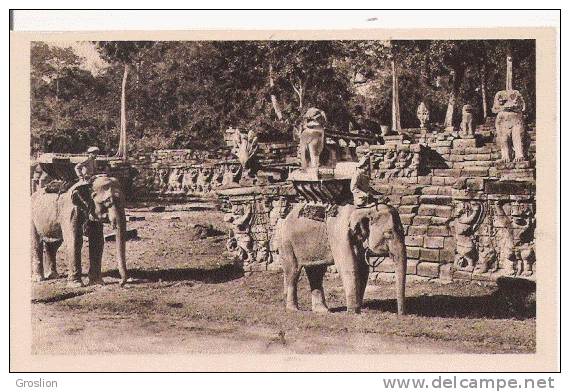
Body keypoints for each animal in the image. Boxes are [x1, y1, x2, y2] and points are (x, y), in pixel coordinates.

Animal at [274, 202, 404, 316]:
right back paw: (293, 310)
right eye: (388, 233)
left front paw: (358, 308)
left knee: (316, 272)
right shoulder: (339, 234)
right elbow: (348, 266)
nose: (400, 315)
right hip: (286, 241)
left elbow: (363, 268)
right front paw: (354, 312)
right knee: (293, 271)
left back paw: (322, 311)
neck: (365, 209)